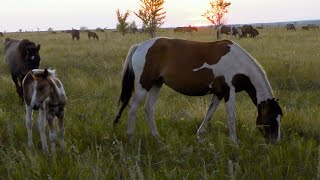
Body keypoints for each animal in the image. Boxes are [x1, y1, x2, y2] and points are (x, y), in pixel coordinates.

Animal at [114, 37, 282, 143]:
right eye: (271, 118)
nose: (275, 142)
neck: (238, 62)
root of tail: (139, 46)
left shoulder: (219, 93)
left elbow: (209, 114)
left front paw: (199, 137)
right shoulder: (229, 91)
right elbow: (231, 117)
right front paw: (235, 142)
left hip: (156, 84)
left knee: (148, 109)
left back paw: (157, 138)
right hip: (144, 86)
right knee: (132, 109)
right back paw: (130, 138)